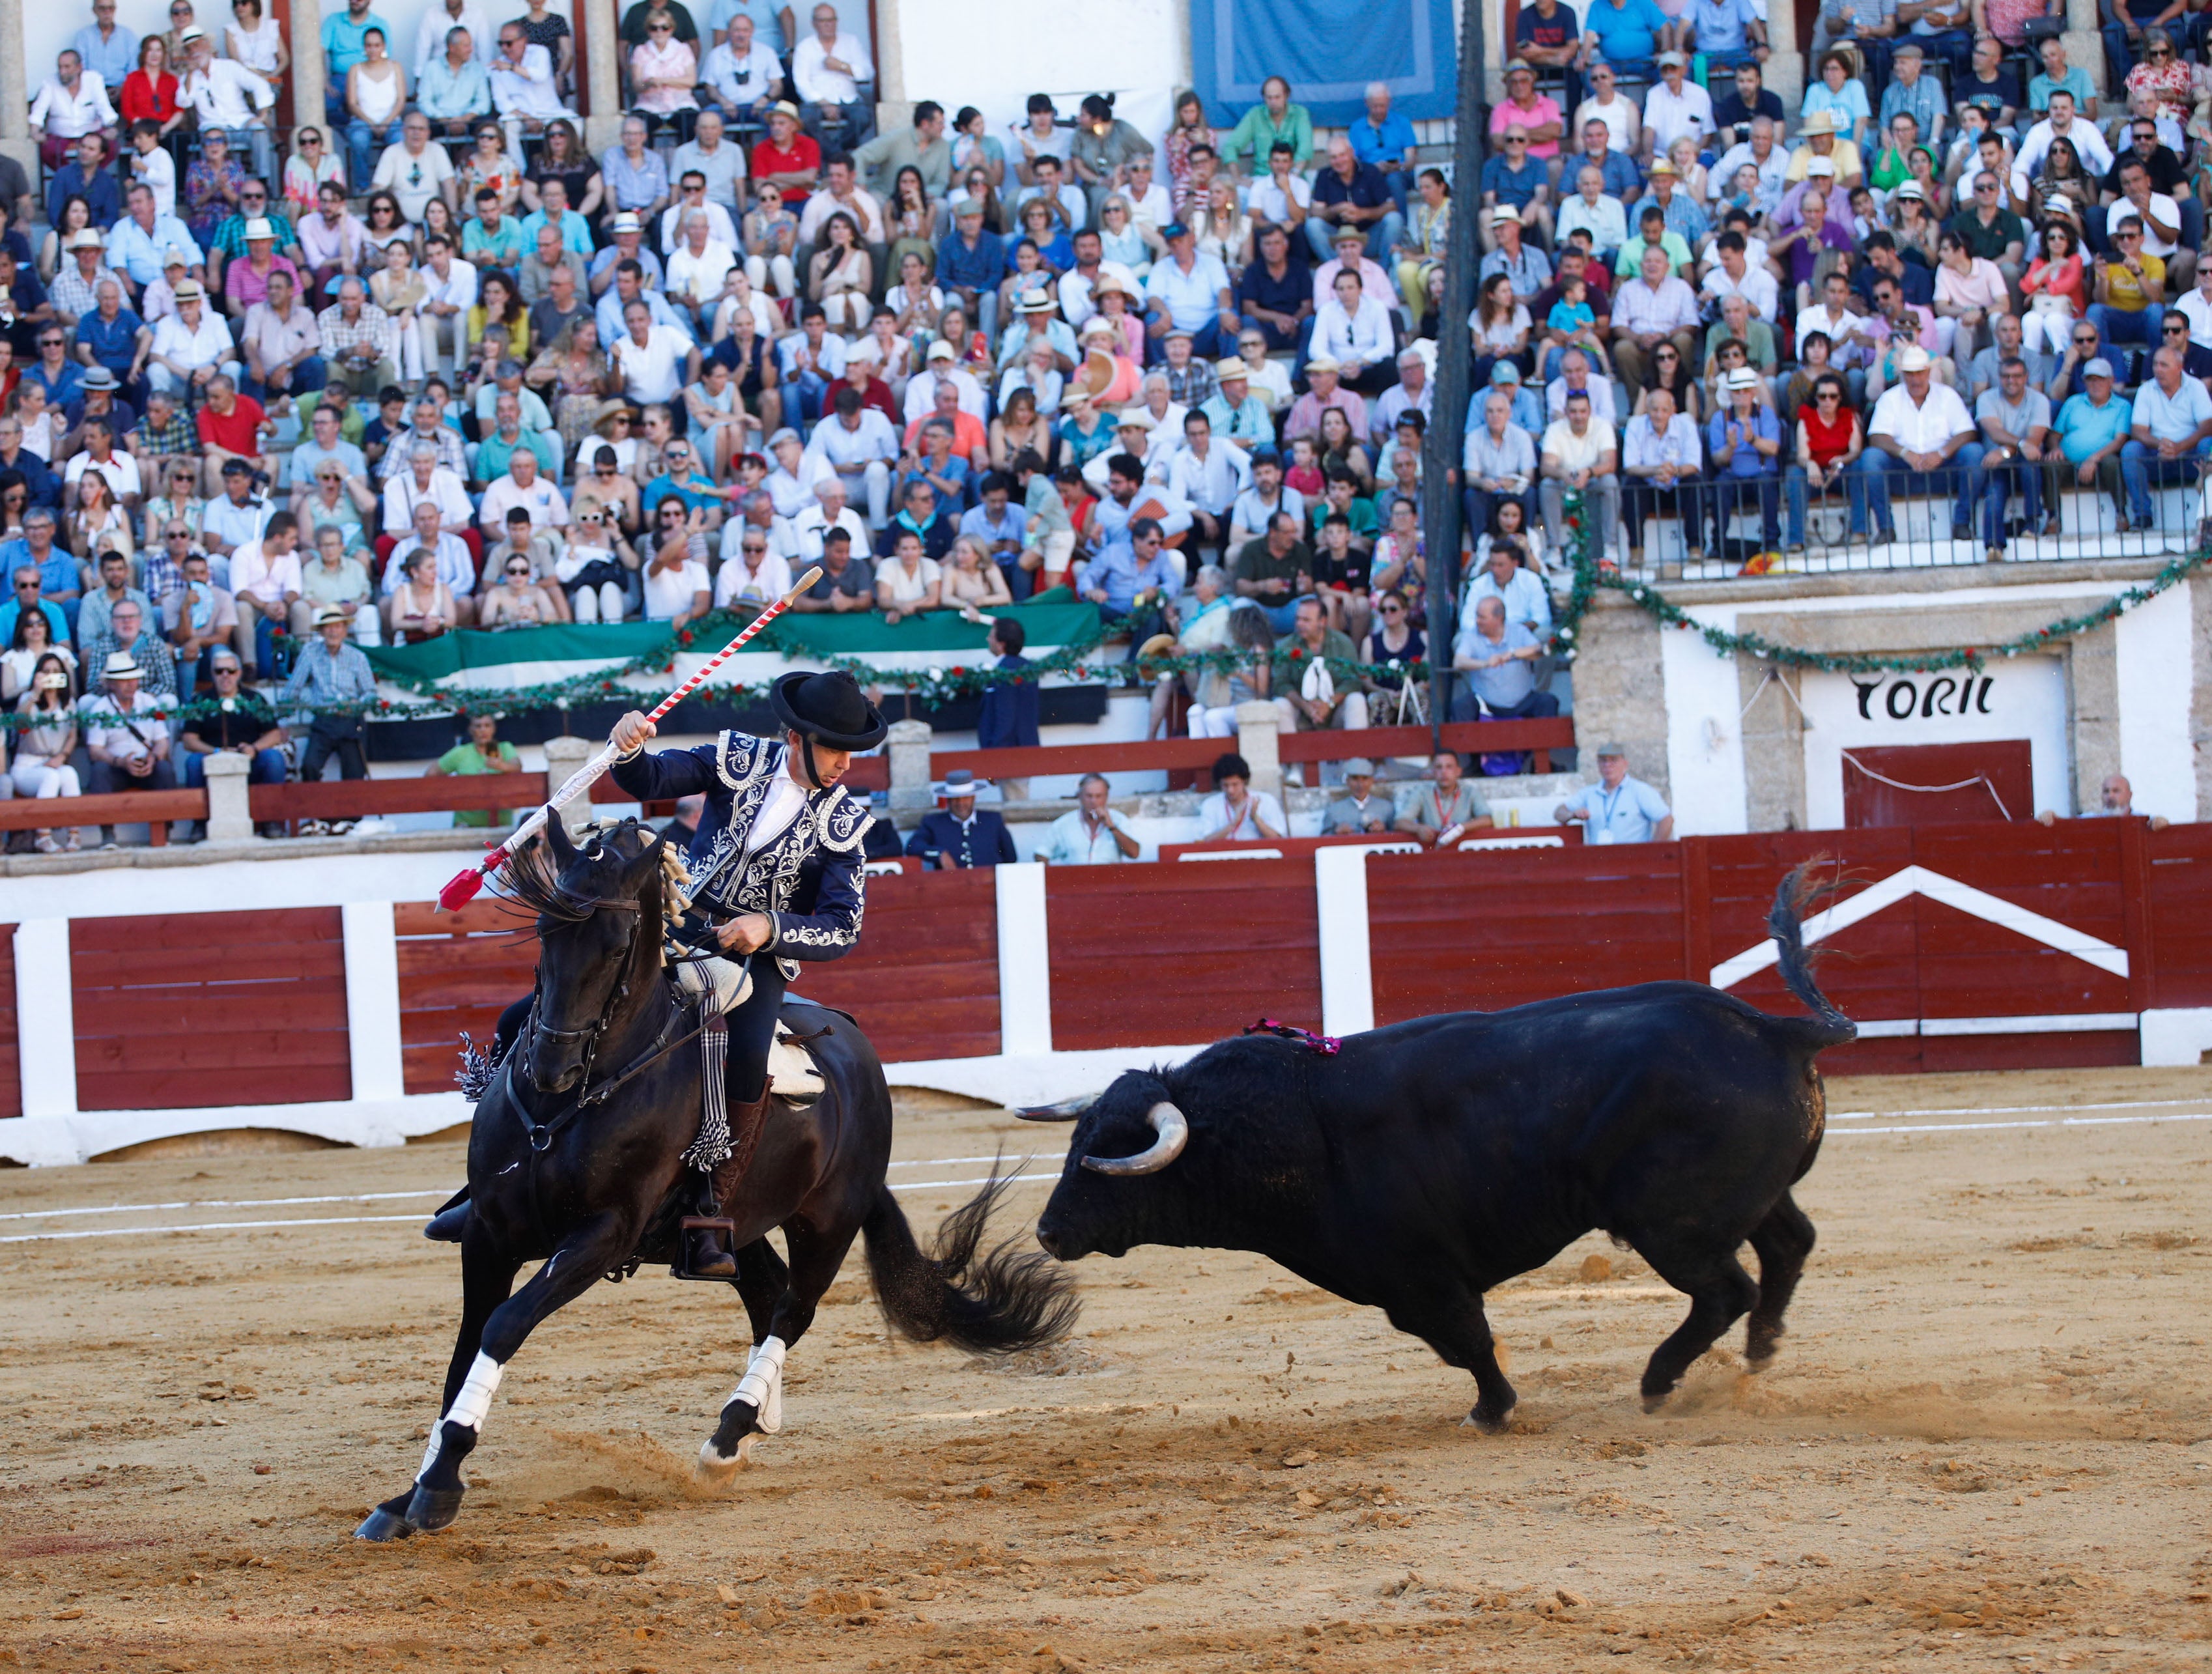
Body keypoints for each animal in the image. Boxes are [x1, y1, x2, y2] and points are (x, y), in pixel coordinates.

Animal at [356, 818, 1079, 1530]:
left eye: (617, 946)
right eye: (543, 931)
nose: (551, 1068)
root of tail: (854, 1049)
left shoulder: (601, 1236)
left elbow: (504, 1325)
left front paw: (440, 1484)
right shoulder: (488, 1232)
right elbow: (464, 1351)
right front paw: (405, 1496)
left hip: (829, 1219)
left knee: (794, 1309)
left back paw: (729, 1436)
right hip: (739, 1226)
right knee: (765, 1291)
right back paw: (755, 1424)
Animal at [1026, 862, 1858, 1424]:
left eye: (1107, 1158)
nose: (1049, 1230)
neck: (1274, 1126)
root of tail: (1781, 1031)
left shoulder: (1418, 1276)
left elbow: (1467, 1341)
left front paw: (1492, 1409)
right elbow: (1465, 1340)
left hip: (1672, 1223)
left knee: (1725, 1289)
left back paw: (1660, 1383)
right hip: (1747, 1200)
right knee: (1788, 1247)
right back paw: (1759, 1354)